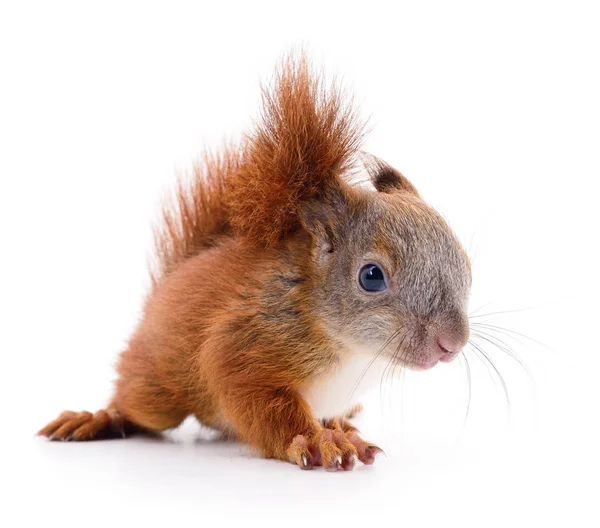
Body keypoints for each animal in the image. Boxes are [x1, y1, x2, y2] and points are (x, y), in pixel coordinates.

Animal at [37, 55, 472, 472]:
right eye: (371, 276)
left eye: (465, 263)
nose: (452, 342)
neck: (354, 353)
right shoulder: (246, 342)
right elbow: (261, 403)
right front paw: (314, 441)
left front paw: (343, 433)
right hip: (158, 388)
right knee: (136, 408)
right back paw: (97, 417)